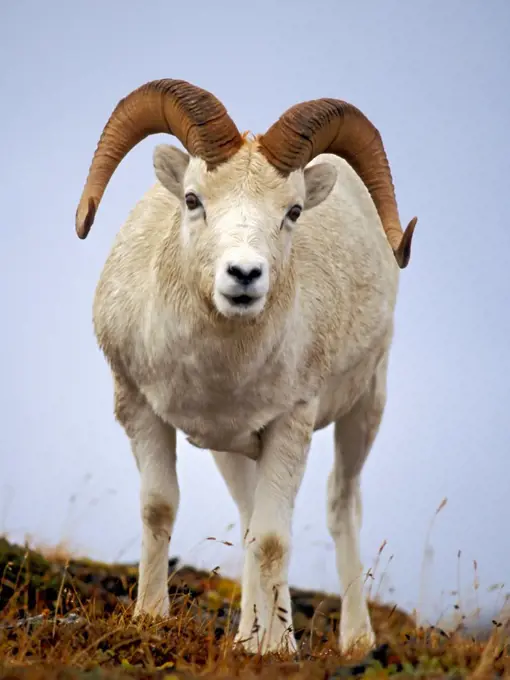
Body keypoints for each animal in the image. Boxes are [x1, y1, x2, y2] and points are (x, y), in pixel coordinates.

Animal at [76, 77, 418, 656]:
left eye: (293, 211)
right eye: (193, 199)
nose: (243, 275)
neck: (216, 371)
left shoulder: (291, 424)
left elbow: (274, 539)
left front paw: (276, 652)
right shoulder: (140, 408)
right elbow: (160, 510)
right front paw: (150, 619)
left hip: (364, 409)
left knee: (339, 507)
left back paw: (351, 640)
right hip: (235, 451)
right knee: (248, 517)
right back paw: (247, 635)